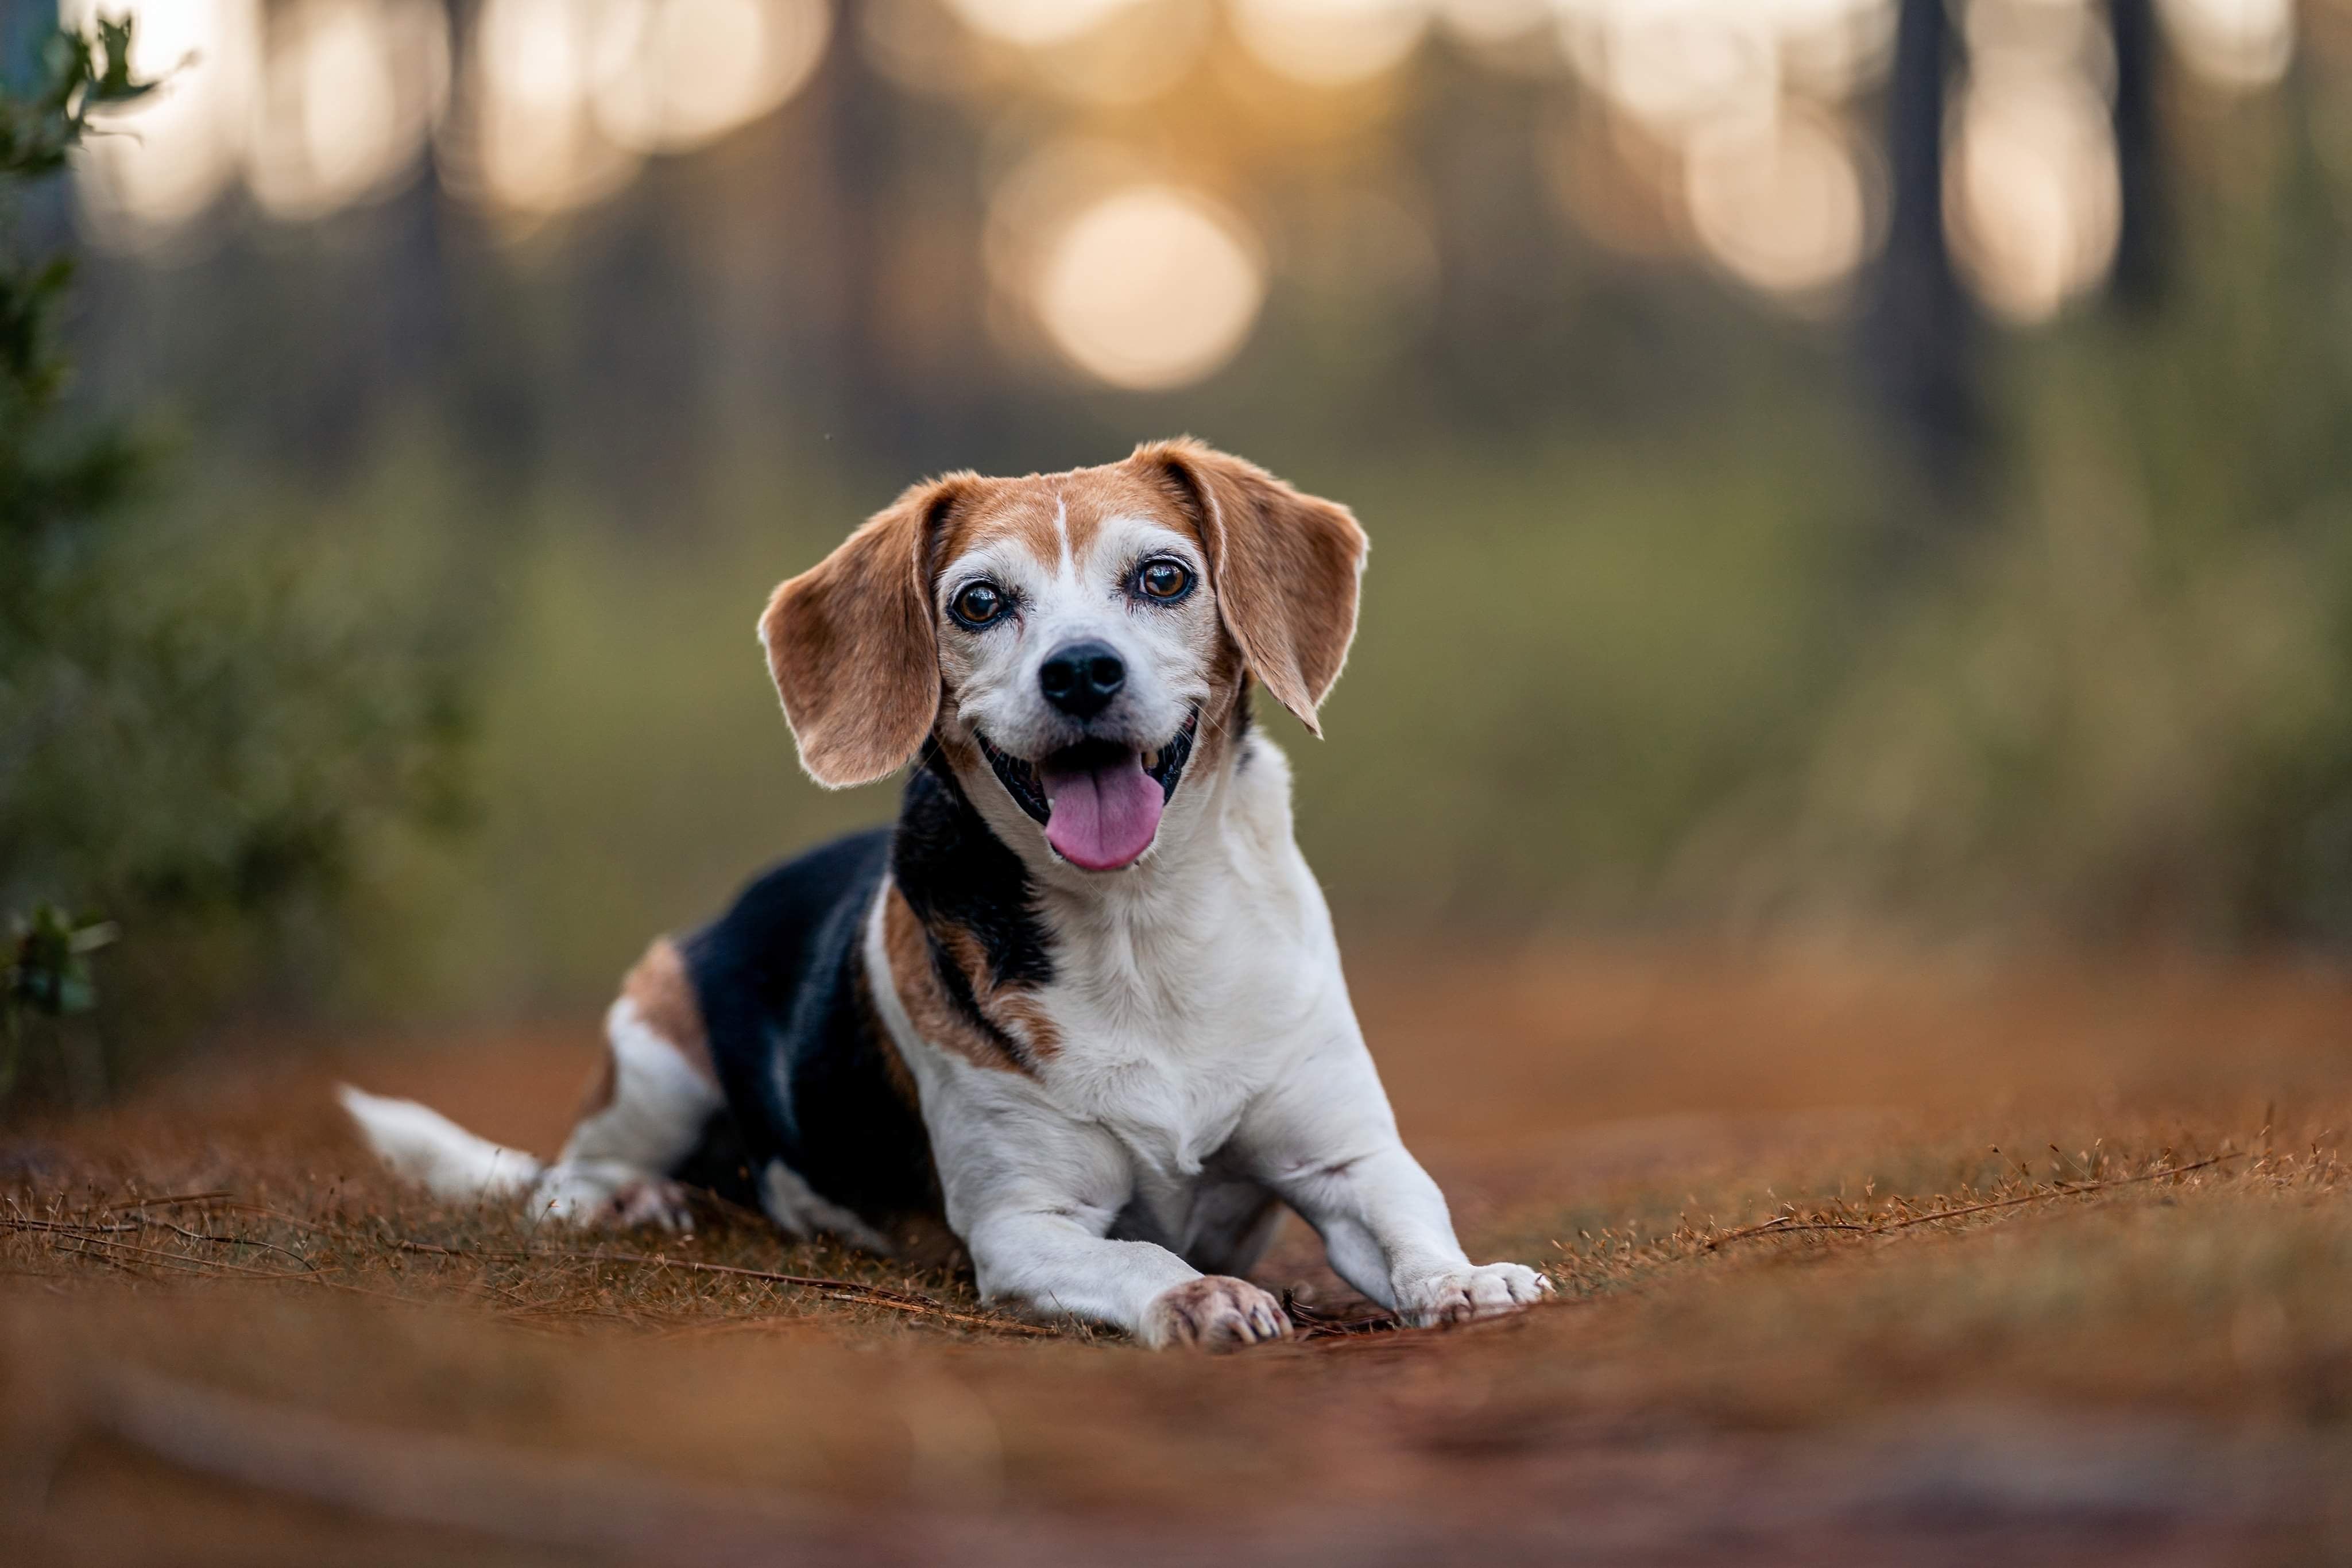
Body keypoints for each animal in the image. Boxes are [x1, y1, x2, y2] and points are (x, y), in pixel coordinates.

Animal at [341, 442, 1552, 1354]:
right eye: (979, 601)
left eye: (1162, 578)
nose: (1081, 671)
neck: (1139, 928)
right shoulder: (1023, 1224)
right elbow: (1138, 1254)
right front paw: (1198, 1293)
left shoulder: (1345, 1158)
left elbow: (1410, 1218)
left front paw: (1466, 1281)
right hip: (655, 1043)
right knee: (567, 1176)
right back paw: (632, 1199)